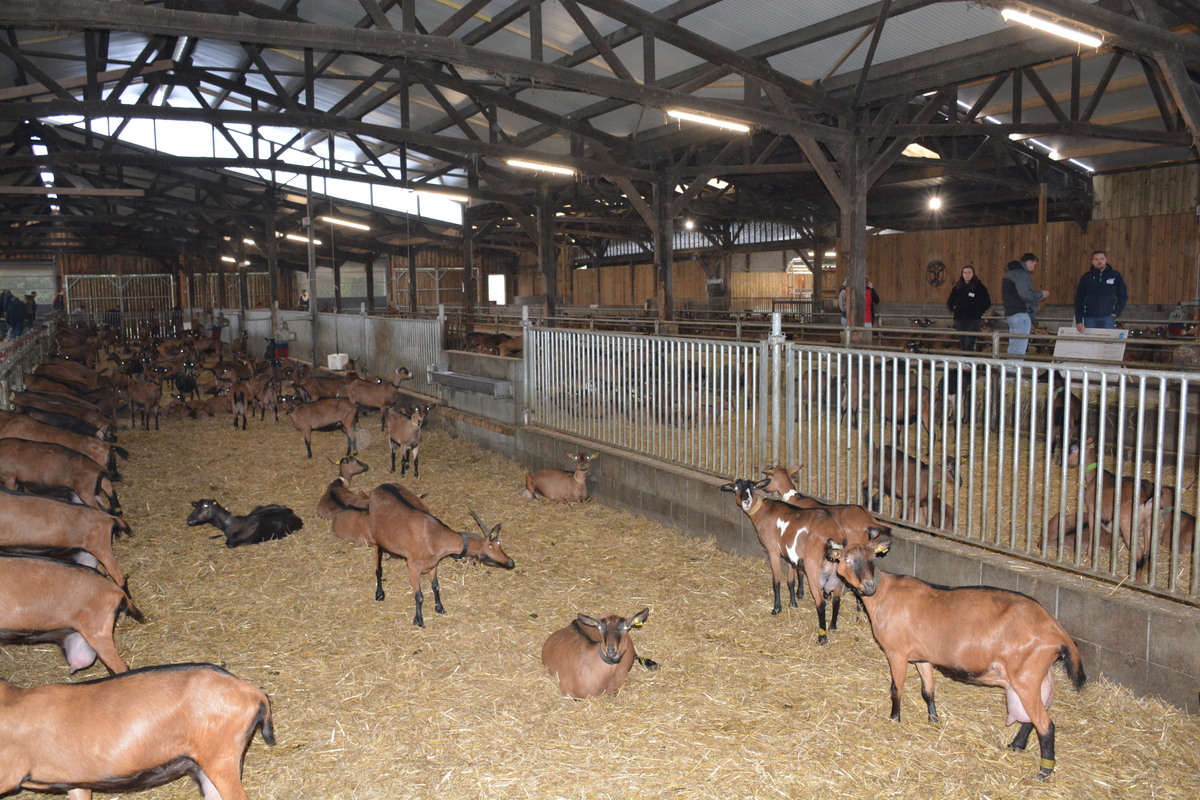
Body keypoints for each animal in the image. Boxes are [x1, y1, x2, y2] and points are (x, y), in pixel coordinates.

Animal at [367, 484, 513, 628]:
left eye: (500, 544)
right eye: (491, 547)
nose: (511, 562)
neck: (435, 537)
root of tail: (380, 487)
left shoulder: (433, 565)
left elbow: (435, 586)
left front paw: (439, 608)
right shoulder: (413, 567)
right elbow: (419, 595)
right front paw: (419, 621)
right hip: (376, 540)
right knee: (378, 568)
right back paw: (379, 594)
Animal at [825, 534, 1089, 777]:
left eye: (872, 558)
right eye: (847, 559)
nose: (869, 586)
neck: (884, 594)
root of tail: (1057, 631)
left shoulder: (897, 653)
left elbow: (896, 689)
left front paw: (894, 718)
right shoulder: (922, 657)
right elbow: (928, 691)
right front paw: (933, 720)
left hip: (1026, 677)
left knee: (1045, 724)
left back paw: (1044, 771)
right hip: (1037, 677)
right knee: (1030, 719)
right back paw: (1015, 746)